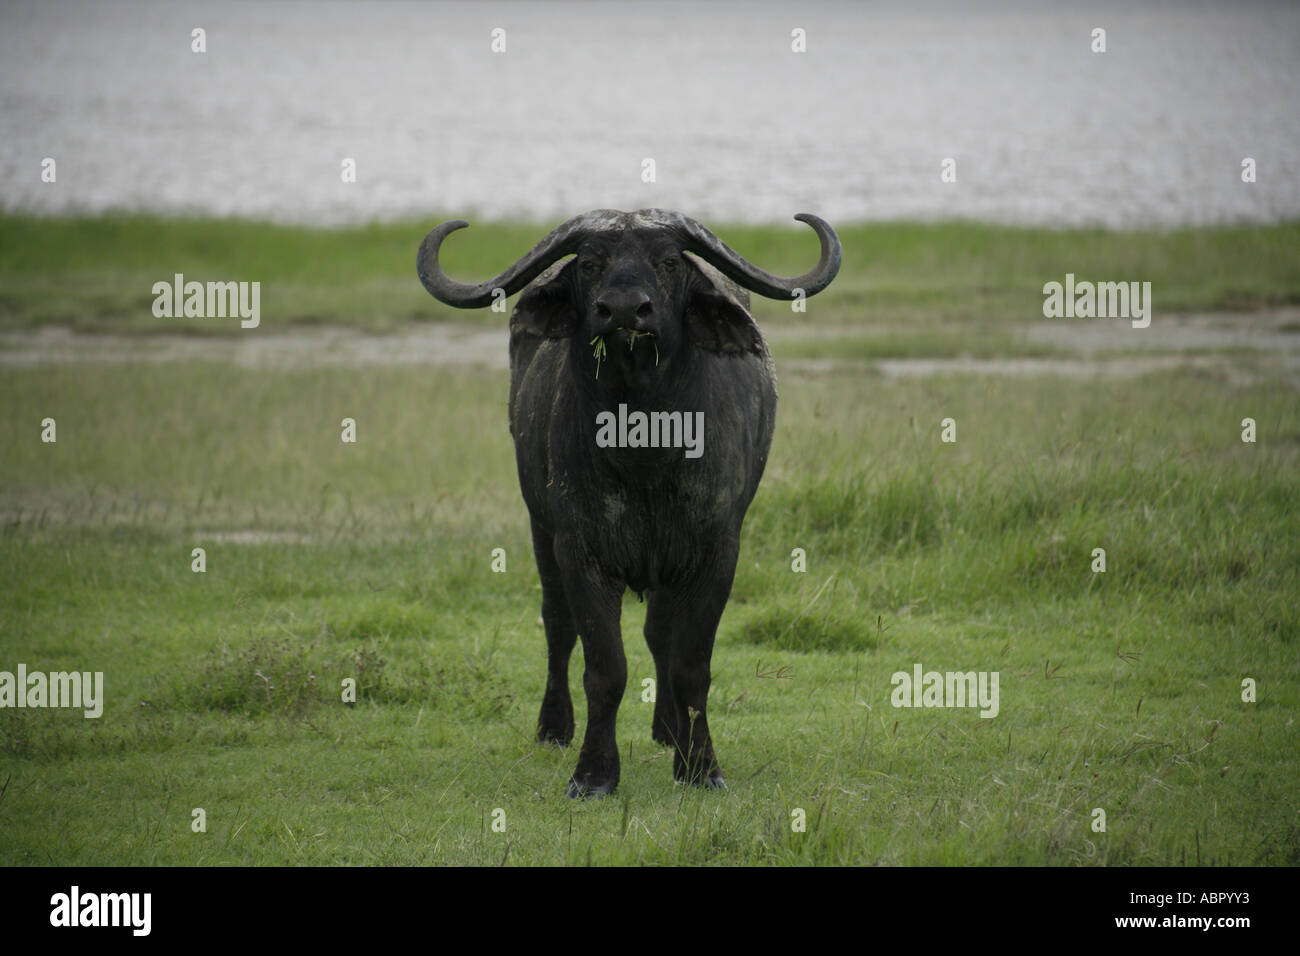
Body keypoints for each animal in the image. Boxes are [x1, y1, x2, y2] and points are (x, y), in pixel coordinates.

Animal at [417, 209, 841, 796]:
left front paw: (700, 766)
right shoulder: (581, 551)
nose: (622, 310)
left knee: (659, 634)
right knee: (558, 625)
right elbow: (604, 668)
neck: (645, 447)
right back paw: (554, 727)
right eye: (590, 263)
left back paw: (667, 729)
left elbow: (690, 664)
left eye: (668, 262)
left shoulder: (715, 554)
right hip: (539, 528)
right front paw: (594, 774)